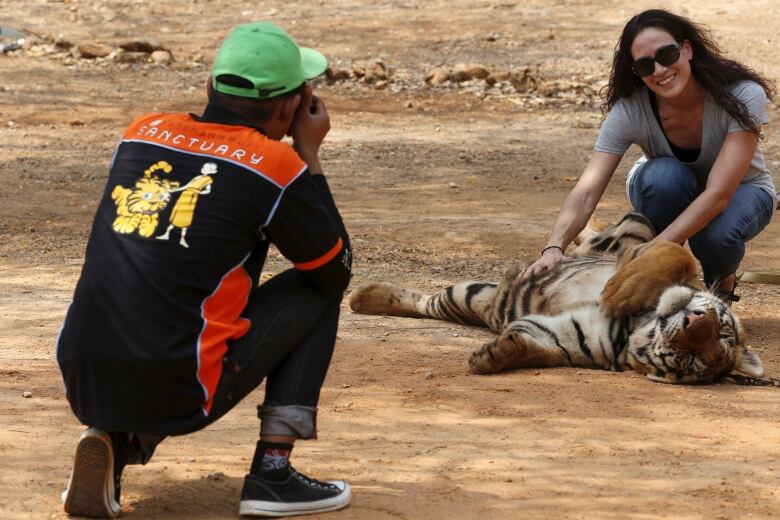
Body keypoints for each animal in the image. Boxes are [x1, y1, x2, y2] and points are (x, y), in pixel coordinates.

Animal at [350, 212, 764, 386]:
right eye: (723, 330)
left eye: (692, 360)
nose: (696, 321)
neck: (639, 325)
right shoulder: (650, 255)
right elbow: (675, 255)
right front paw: (618, 290)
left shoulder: (566, 337)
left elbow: (532, 346)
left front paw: (492, 356)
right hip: (634, 226)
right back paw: (361, 297)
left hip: (471, 297)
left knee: (432, 303)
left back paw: (362, 297)